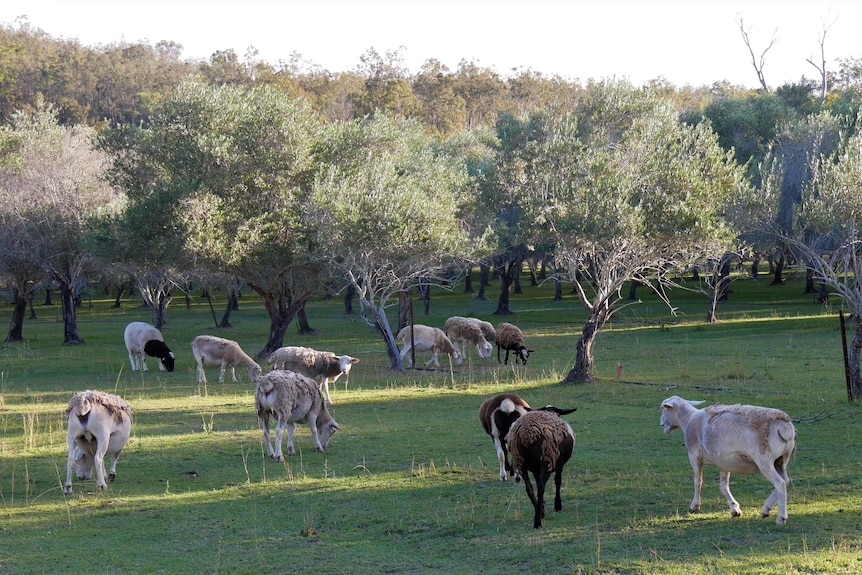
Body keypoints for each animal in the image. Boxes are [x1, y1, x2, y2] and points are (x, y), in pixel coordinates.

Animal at [664, 396, 800, 528]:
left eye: (663, 408)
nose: (661, 424)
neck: (688, 419)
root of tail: (785, 428)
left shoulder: (694, 455)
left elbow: (698, 481)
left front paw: (695, 506)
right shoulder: (724, 462)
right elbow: (723, 486)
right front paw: (734, 509)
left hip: (764, 460)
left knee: (780, 483)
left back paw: (781, 517)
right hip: (781, 460)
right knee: (786, 480)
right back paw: (766, 509)